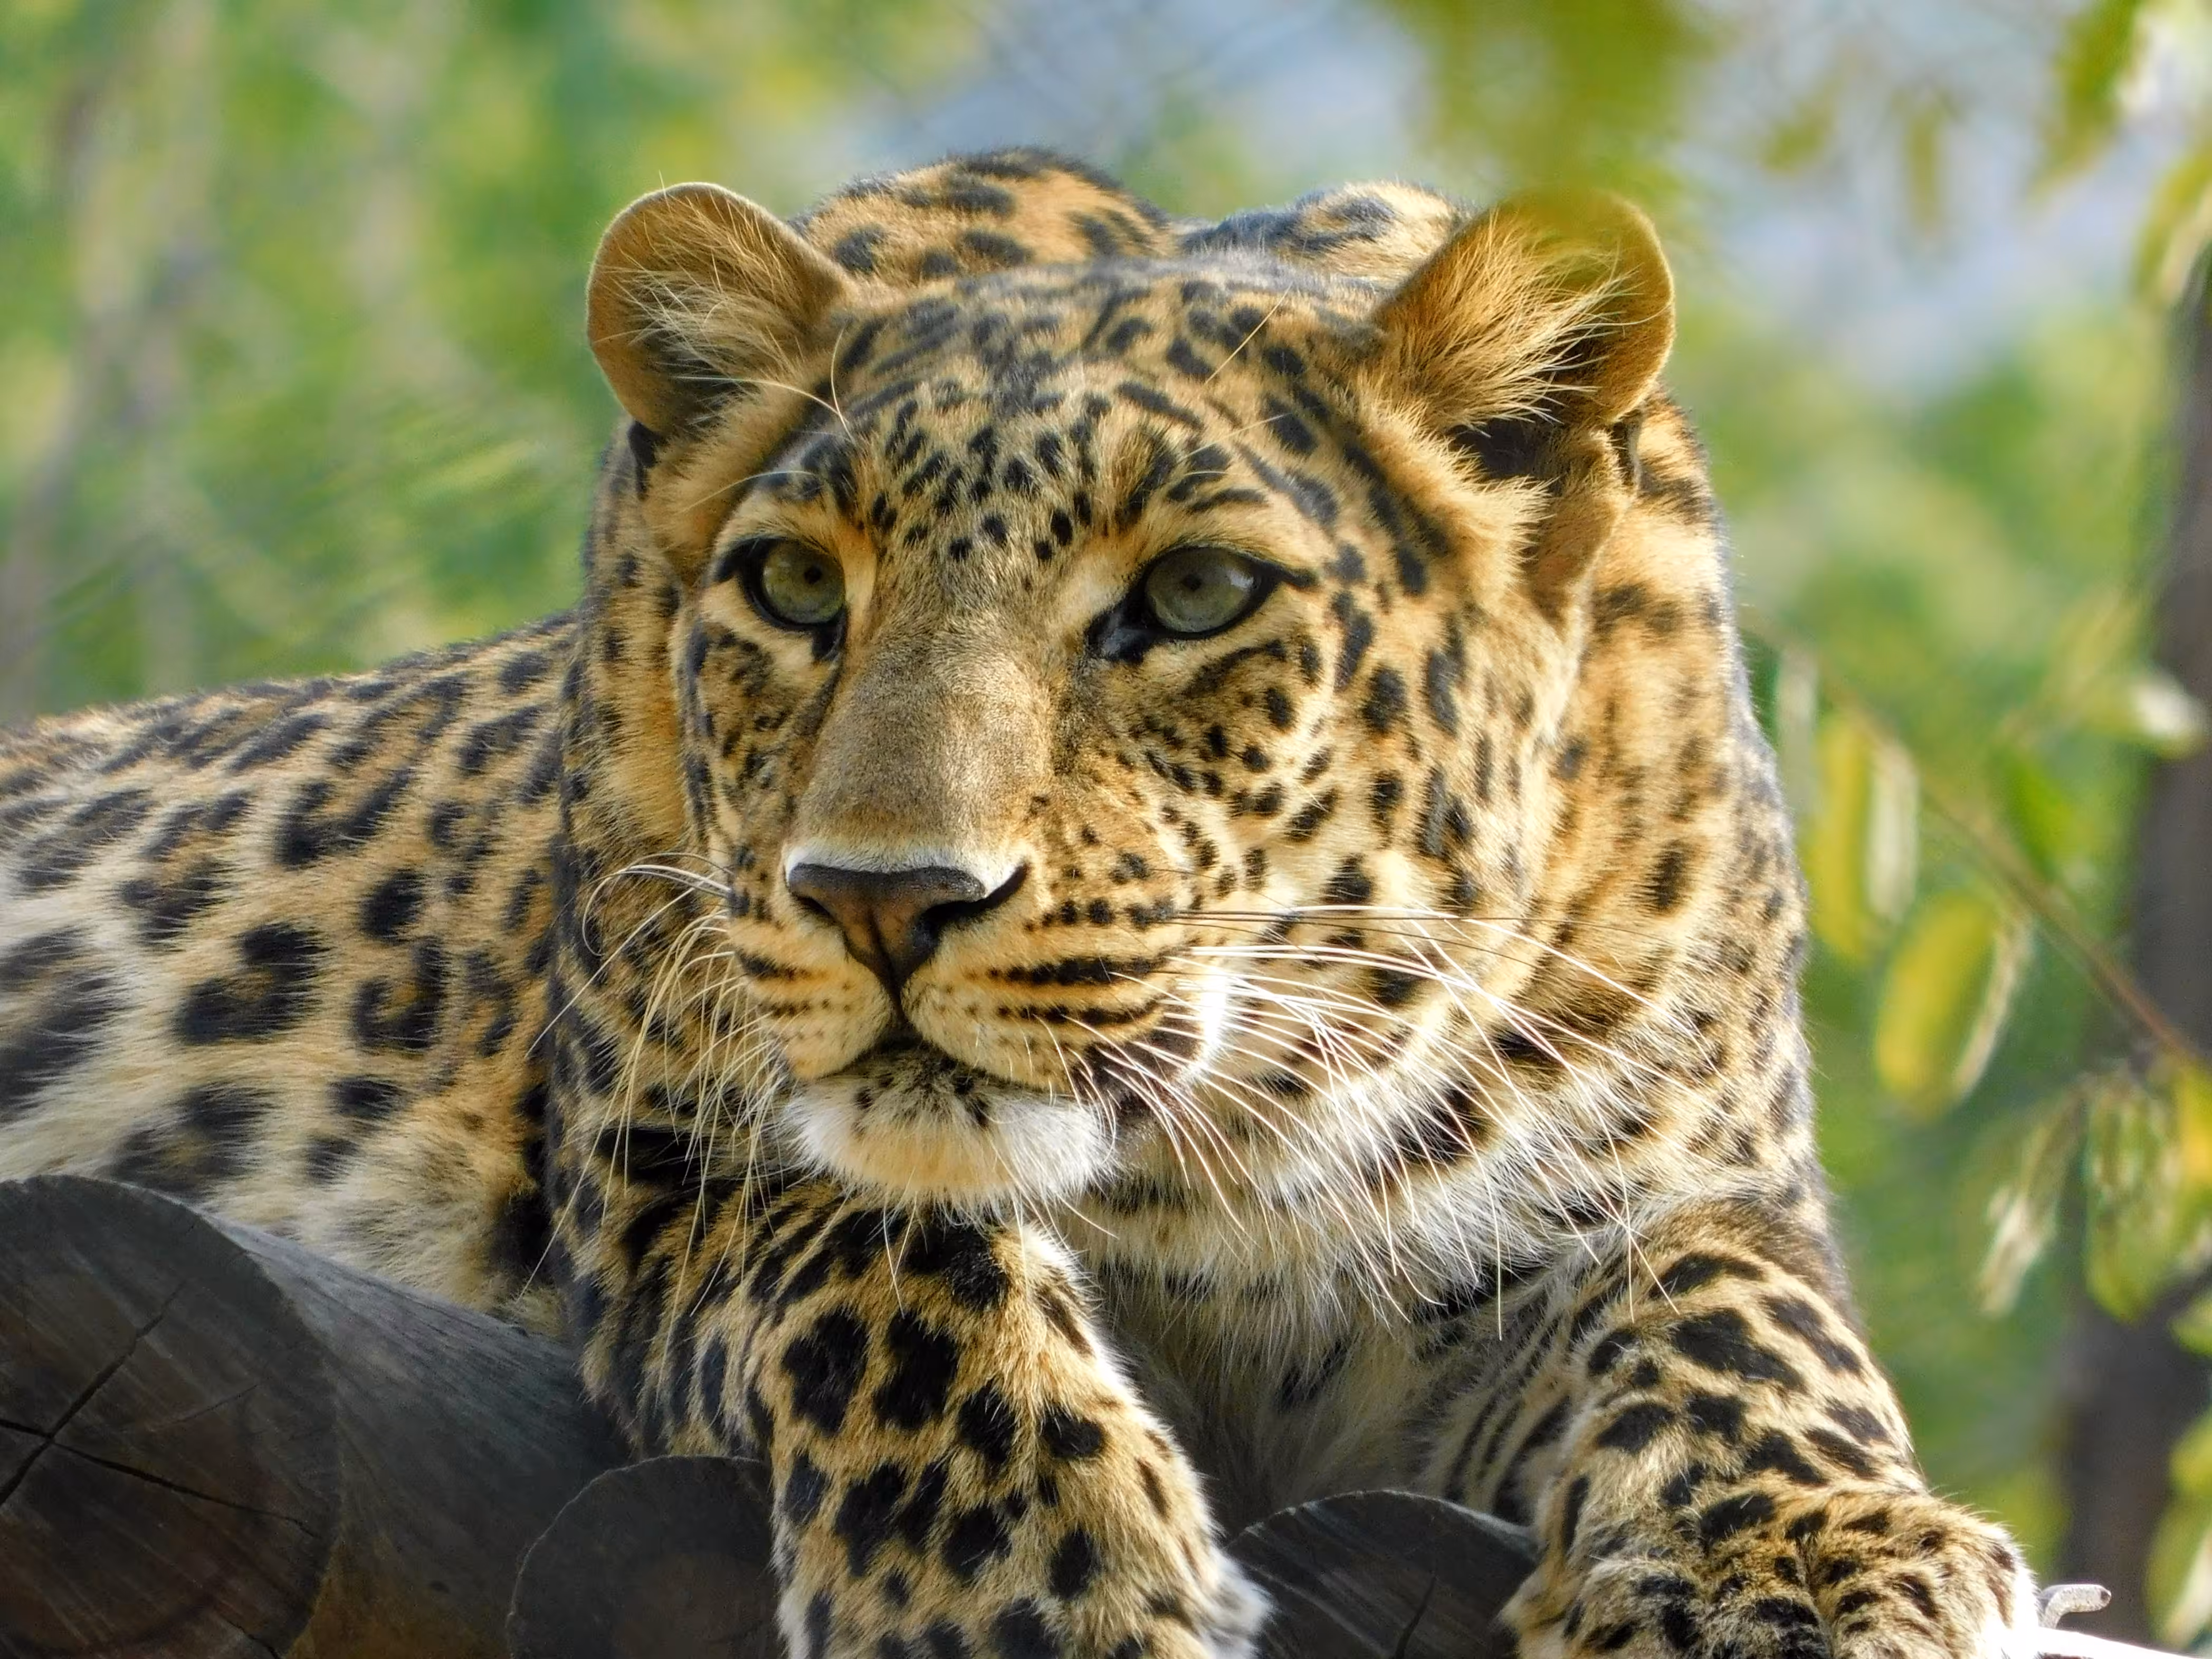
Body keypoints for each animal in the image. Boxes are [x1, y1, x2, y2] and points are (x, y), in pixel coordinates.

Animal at [0, 147, 2040, 1659]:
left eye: (1197, 595)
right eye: (796, 589)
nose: (880, 899)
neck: (1219, 1171)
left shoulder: (1660, 1179)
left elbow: (1731, 1307)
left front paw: (1805, 1553)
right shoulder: (679, 1143)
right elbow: (894, 1250)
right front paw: (1023, 1574)